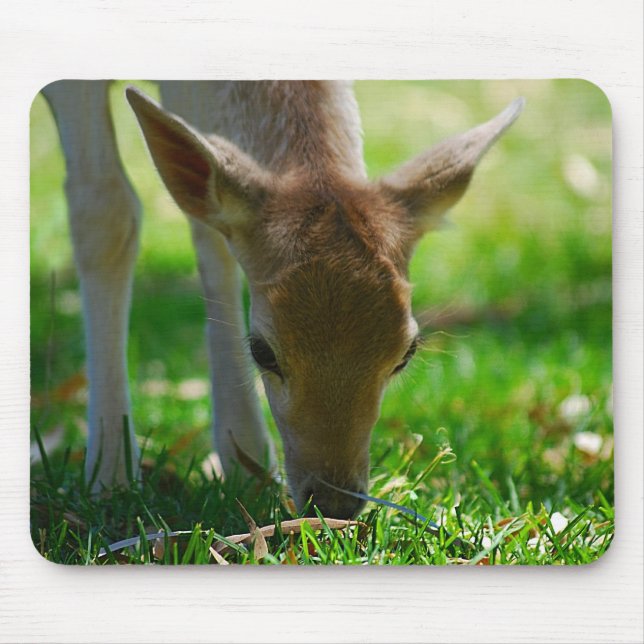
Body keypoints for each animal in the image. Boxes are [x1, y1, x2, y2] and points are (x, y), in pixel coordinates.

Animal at [41, 80, 523, 519]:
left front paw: (246, 465)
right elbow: (104, 210)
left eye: (406, 352)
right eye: (262, 351)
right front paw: (109, 479)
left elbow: (210, 234)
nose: (333, 503)